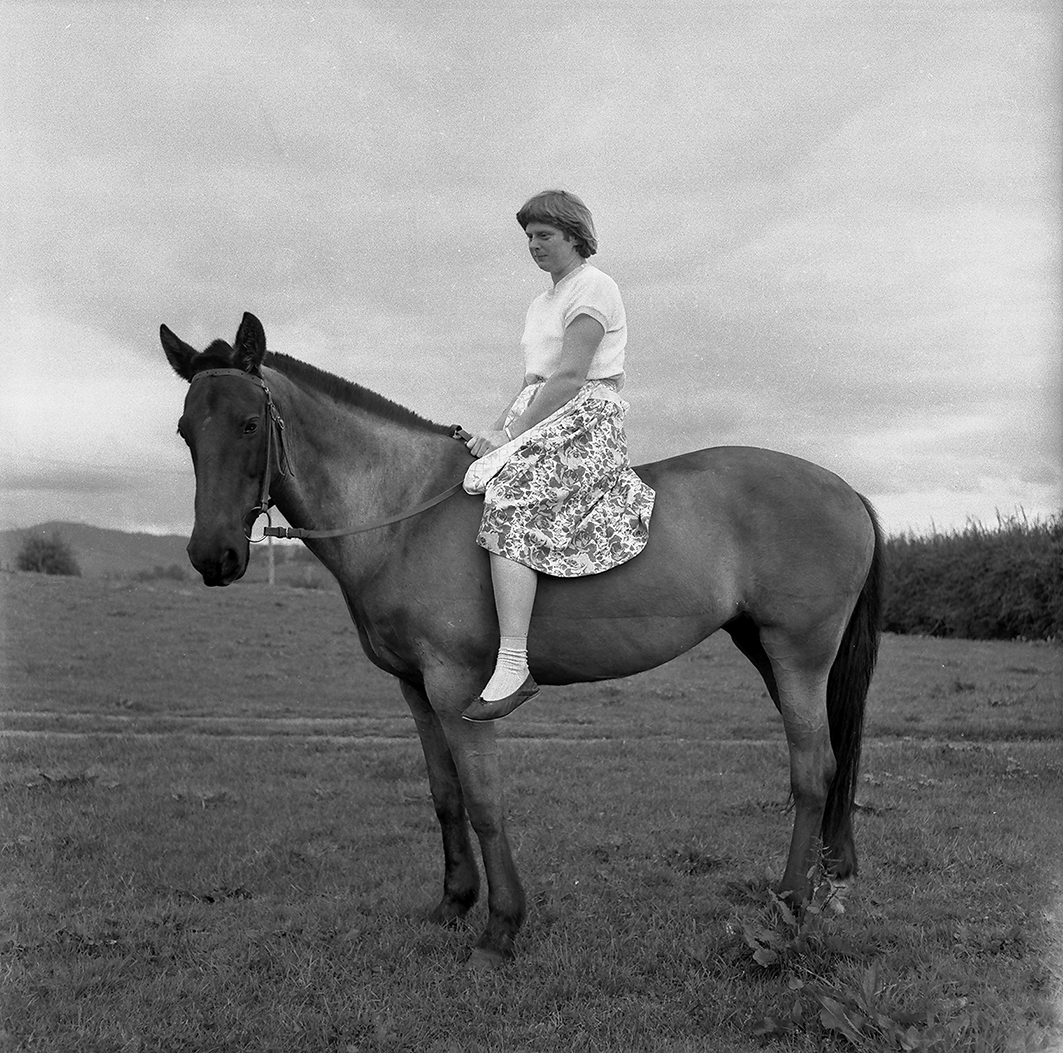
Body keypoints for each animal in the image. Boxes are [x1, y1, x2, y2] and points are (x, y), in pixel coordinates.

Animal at [159, 314, 880, 973]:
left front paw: (500, 926)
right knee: (828, 763)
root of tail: (843, 488)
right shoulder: (416, 690)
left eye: (249, 425)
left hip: (797, 654)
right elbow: (444, 795)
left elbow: (484, 802)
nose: (212, 556)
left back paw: (789, 905)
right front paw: (453, 902)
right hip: (765, 650)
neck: (406, 517)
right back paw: (823, 883)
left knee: (813, 771)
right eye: (187, 431)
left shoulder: (456, 688)